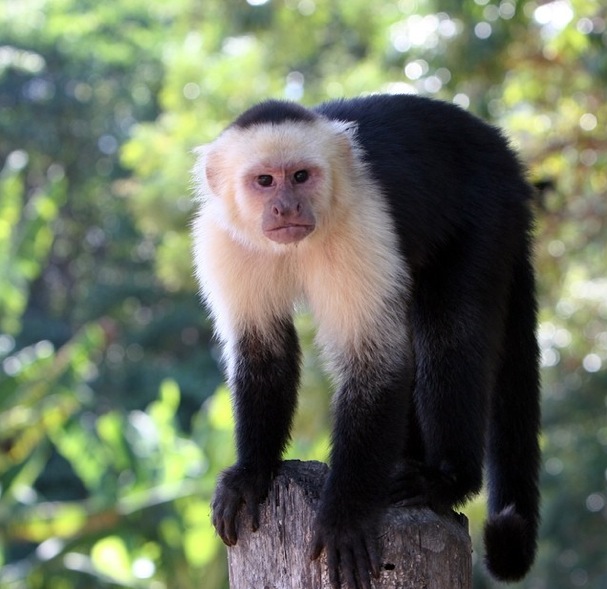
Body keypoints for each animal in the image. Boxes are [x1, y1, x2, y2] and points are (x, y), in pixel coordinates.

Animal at [191, 95, 540, 588]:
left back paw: (445, 478)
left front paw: (345, 516)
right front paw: (251, 473)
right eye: (264, 181)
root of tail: (505, 155)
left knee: (451, 332)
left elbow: (375, 364)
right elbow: (262, 353)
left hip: (489, 208)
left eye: (301, 176)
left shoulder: (362, 225)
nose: (285, 207)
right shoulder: (222, 241)